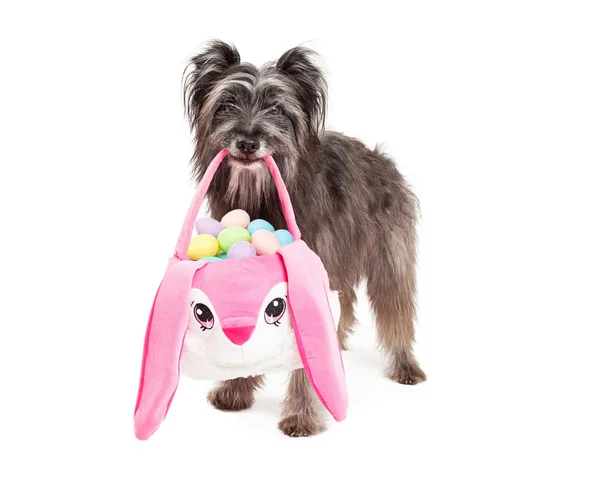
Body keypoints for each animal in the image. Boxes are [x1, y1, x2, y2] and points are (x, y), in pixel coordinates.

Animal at [183, 41, 426, 438]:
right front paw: (236, 389)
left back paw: (405, 365)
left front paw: (302, 415)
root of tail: (378, 156)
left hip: (390, 260)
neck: (262, 195)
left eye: (277, 108)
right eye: (226, 104)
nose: (248, 142)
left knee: (396, 310)